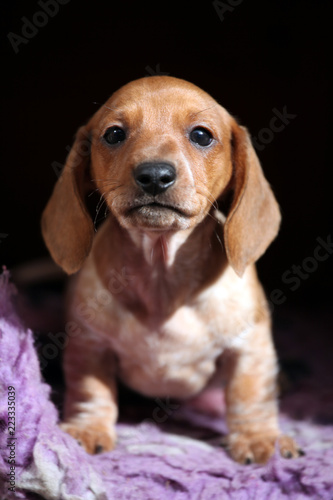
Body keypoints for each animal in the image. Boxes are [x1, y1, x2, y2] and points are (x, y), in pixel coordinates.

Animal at [40, 75, 298, 464]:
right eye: (113, 134)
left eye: (202, 135)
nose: (154, 175)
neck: (162, 281)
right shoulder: (90, 344)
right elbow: (90, 390)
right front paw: (88, 427)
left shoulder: (249, 346)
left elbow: (249, 394)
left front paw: (257, 437)